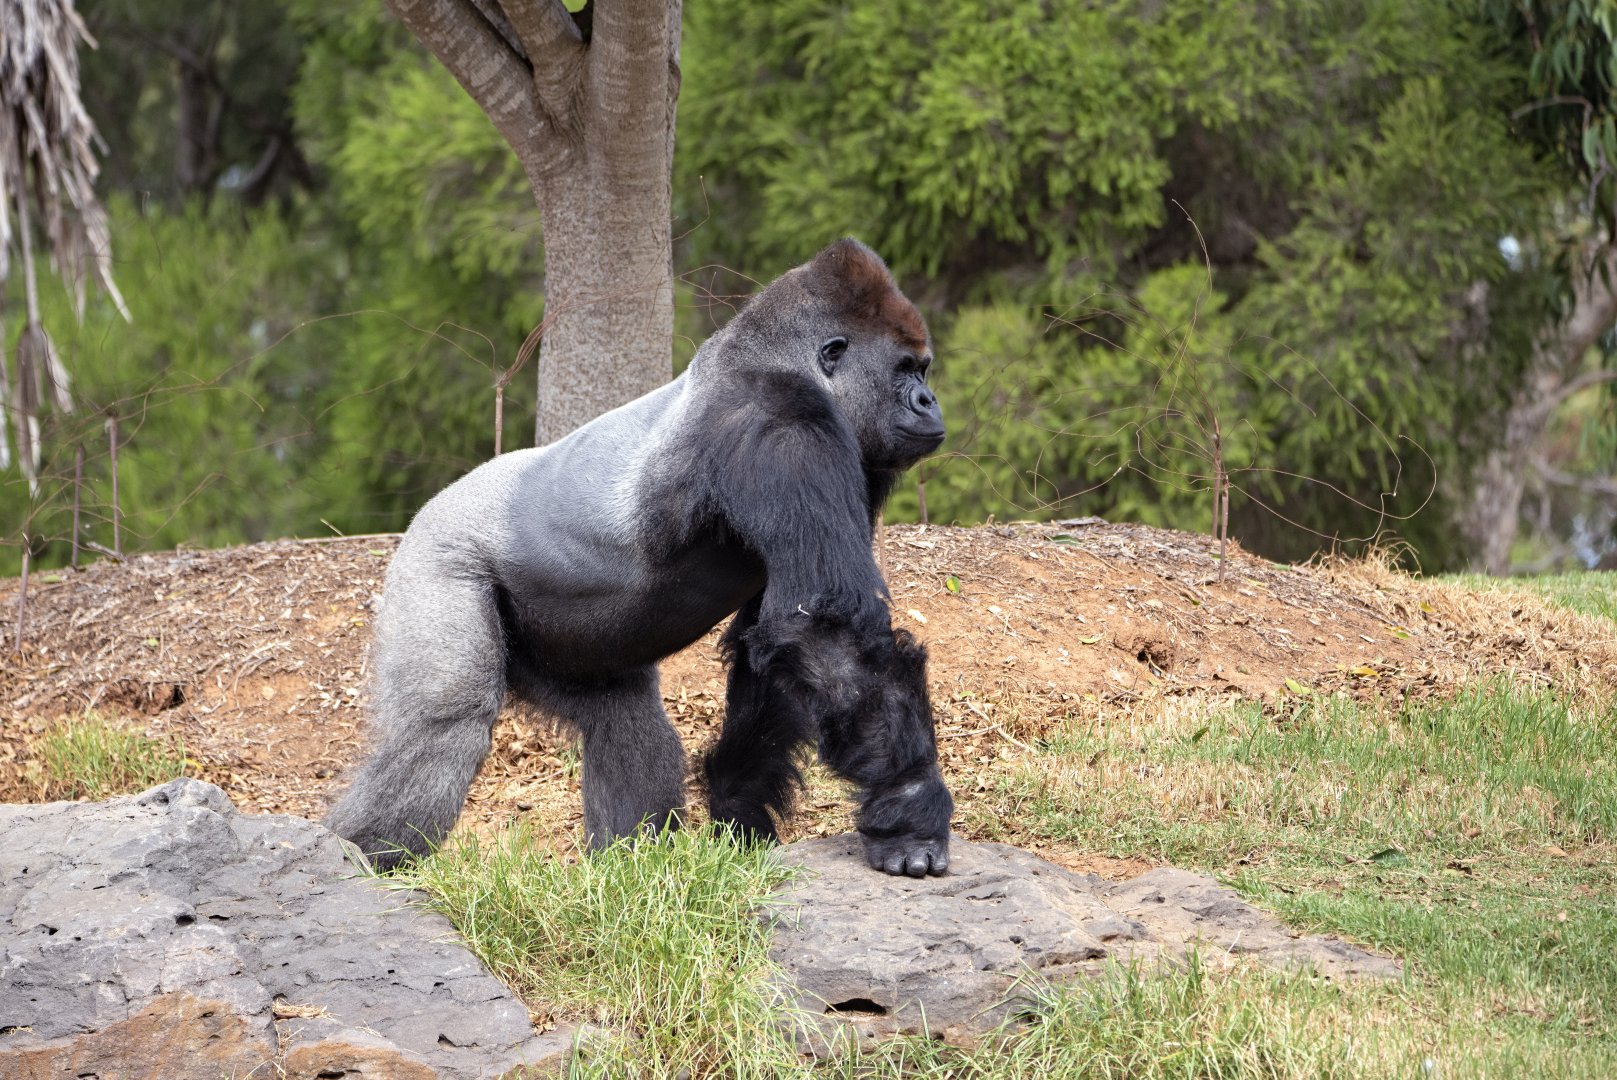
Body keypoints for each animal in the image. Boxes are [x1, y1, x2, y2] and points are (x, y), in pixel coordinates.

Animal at [325, 238, 953, 877]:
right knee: (443, 723)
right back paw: (356, 856)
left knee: (624, 722)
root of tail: (427, 510)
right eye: (906, 370)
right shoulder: (786, 424)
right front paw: (909, 814)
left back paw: (630, 868)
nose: (929, 401)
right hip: (436, 558)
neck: (778, 361)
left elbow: (776, 640)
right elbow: (828, 631)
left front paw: (739, 813)